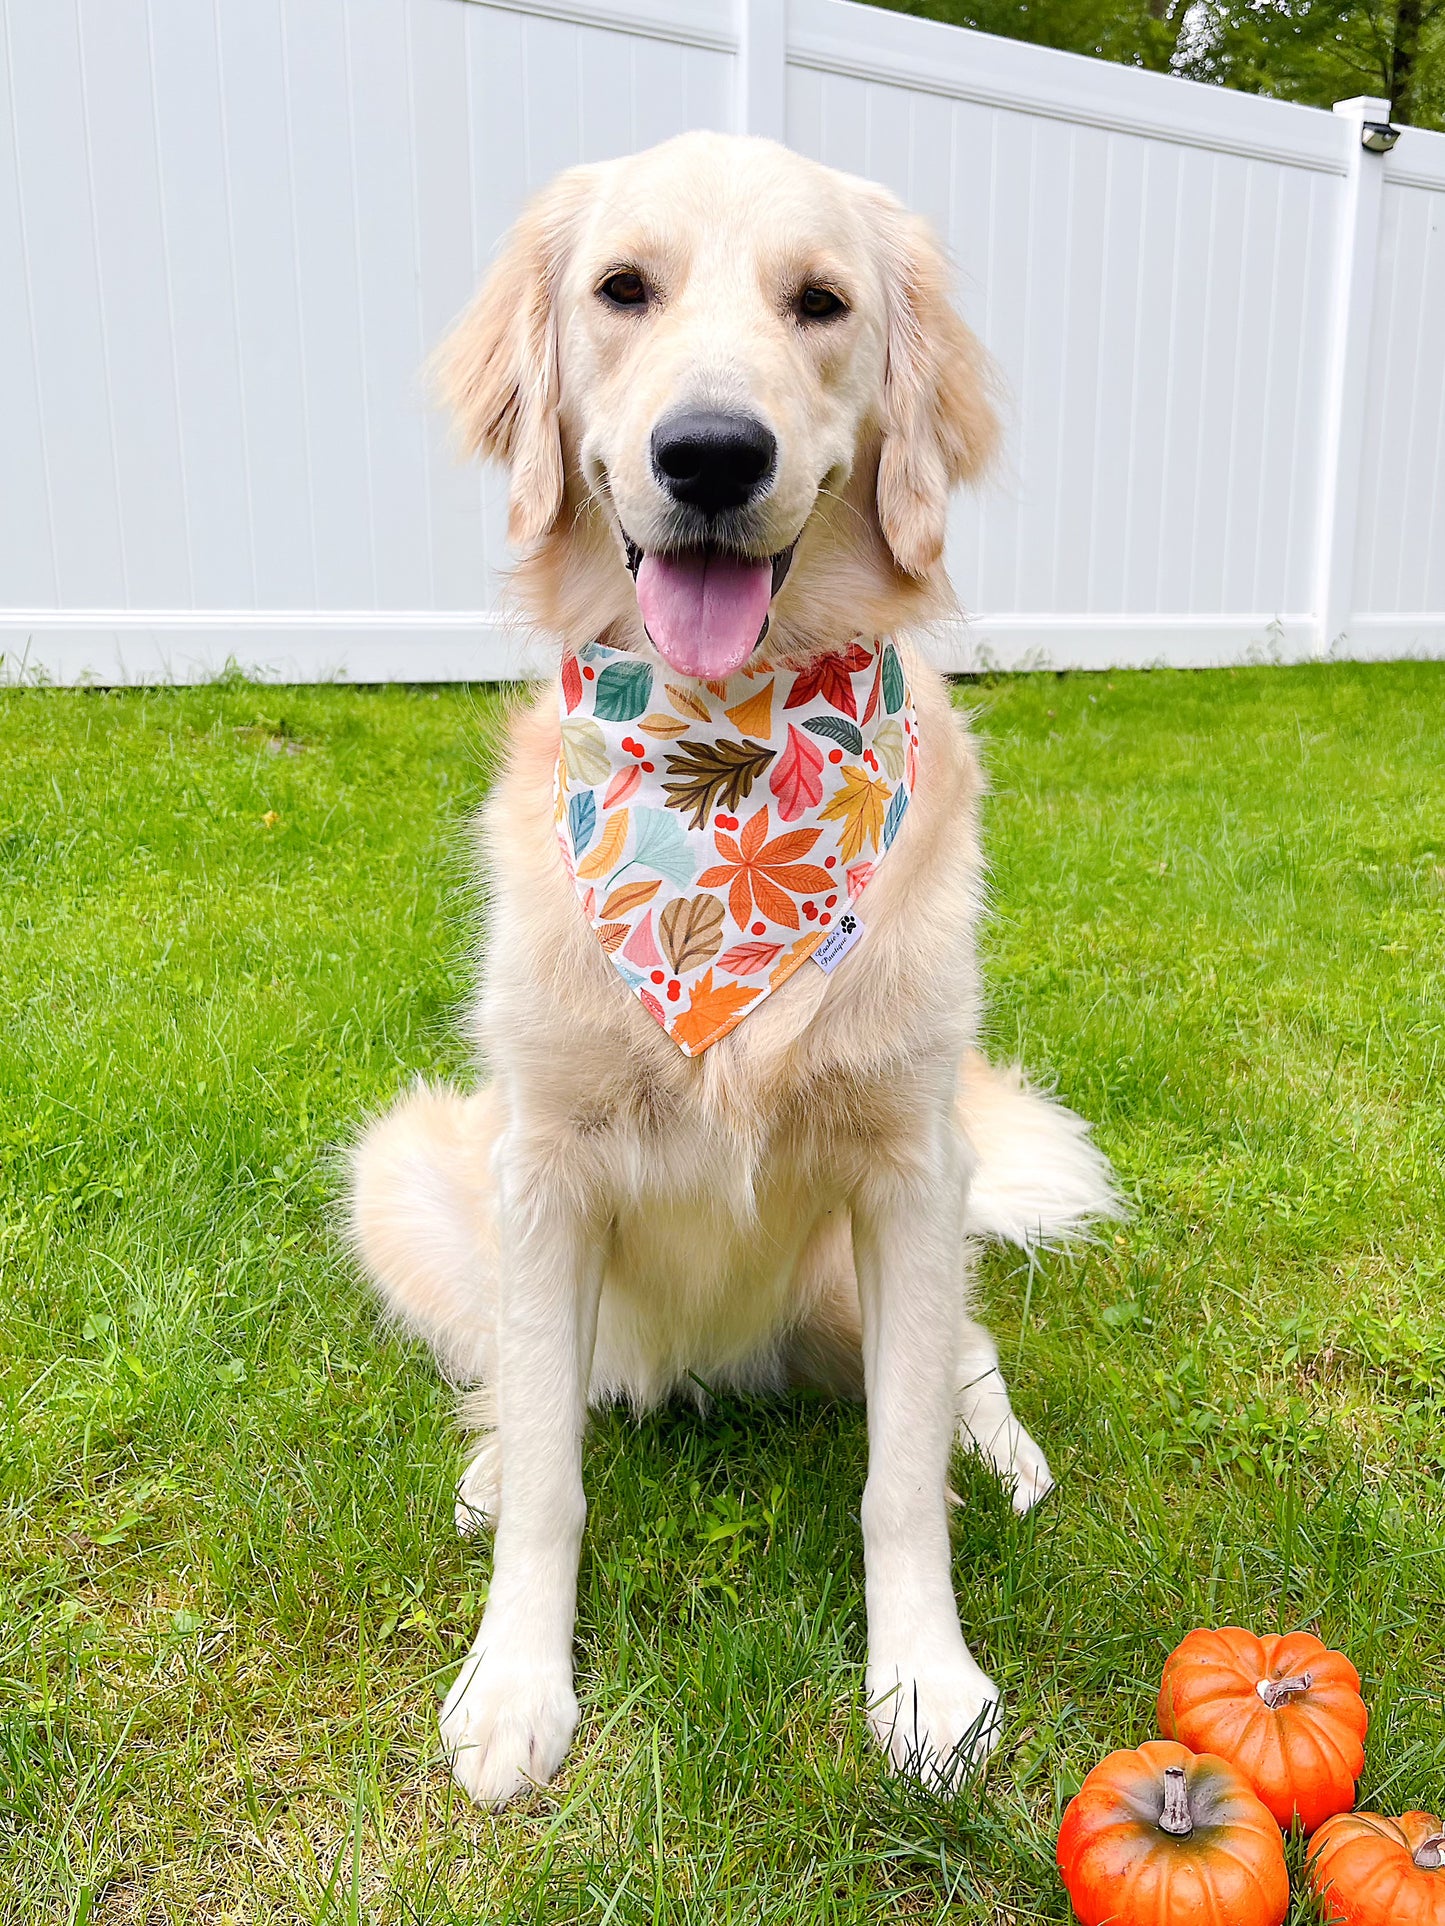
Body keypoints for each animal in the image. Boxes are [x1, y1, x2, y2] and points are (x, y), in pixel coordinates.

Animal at [350, 131, 1117, 1802]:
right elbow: (555, 1484)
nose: (711, 454)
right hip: (410, 1167)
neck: (730, 762)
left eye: (819, 302)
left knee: (965, 1356)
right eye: (621, 289)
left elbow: (898, 1480)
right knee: (533, 1387)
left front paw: (927, 1681)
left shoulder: (909, 1166)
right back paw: (493, 1453)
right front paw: (517, 1681)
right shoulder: (541, 1162)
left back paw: (1005, 1449)